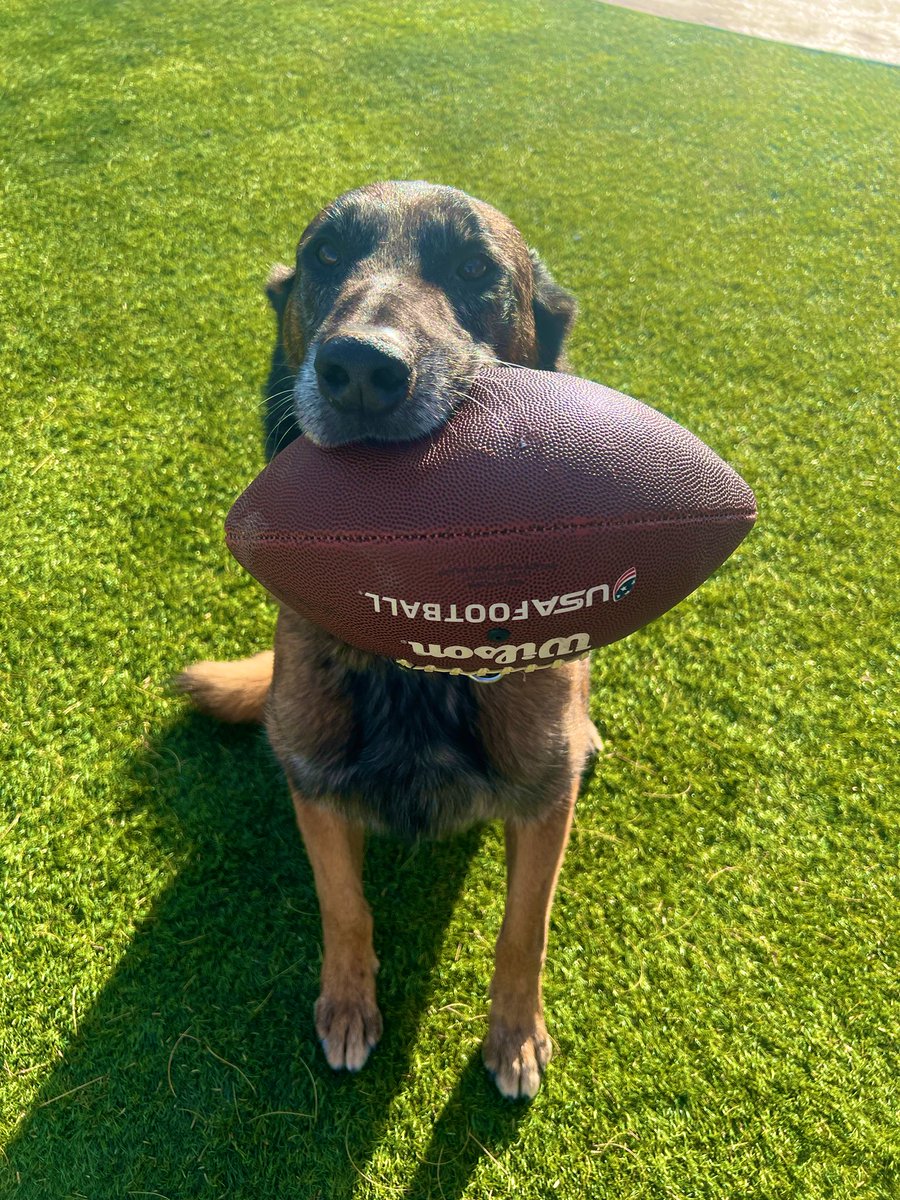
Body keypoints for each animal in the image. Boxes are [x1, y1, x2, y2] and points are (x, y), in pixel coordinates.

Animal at [177, 180, 600, 1099]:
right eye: (326, 256)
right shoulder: (313, 788)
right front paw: (347, 1004)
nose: (362, 372)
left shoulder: (543, 804)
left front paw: (514, 1034)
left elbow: (525, 929)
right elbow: (345, 908)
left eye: (475, 269)